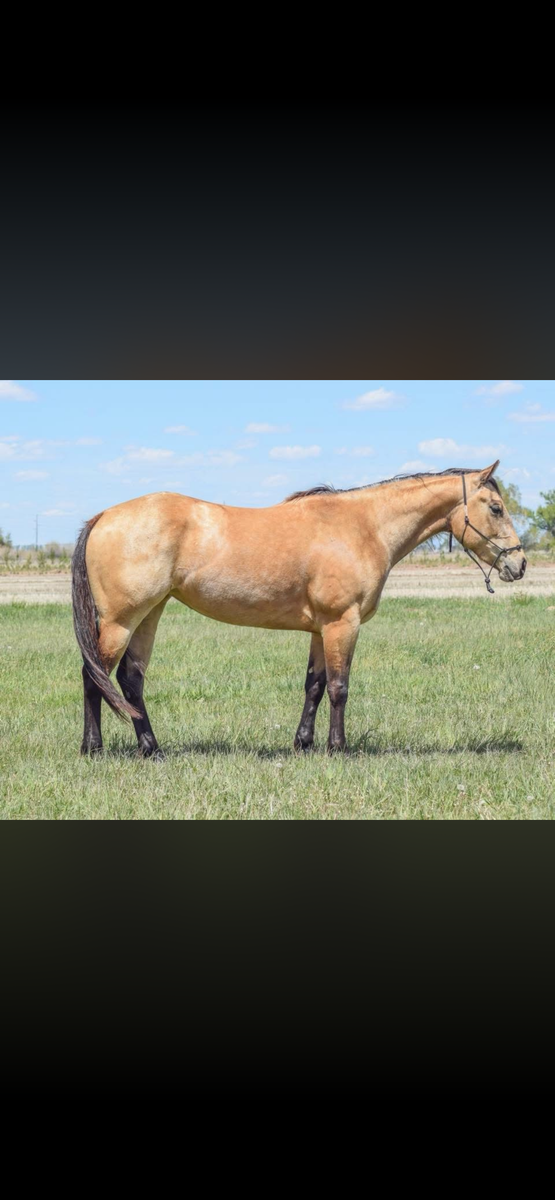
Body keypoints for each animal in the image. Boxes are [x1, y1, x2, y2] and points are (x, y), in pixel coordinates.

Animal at [72, 460, 526, 757]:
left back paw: (152, 749)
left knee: (130, 680)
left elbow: (315, 686)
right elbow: (340, 688)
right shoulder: (343, 623)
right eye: (496, 508)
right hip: (121, 620)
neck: (364, 527)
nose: (519, 564)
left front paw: (303, 744)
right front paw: (337, 748)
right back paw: (93, 749)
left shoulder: (320, 630)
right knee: (95, 677)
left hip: (149, 615)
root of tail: (104, 516)